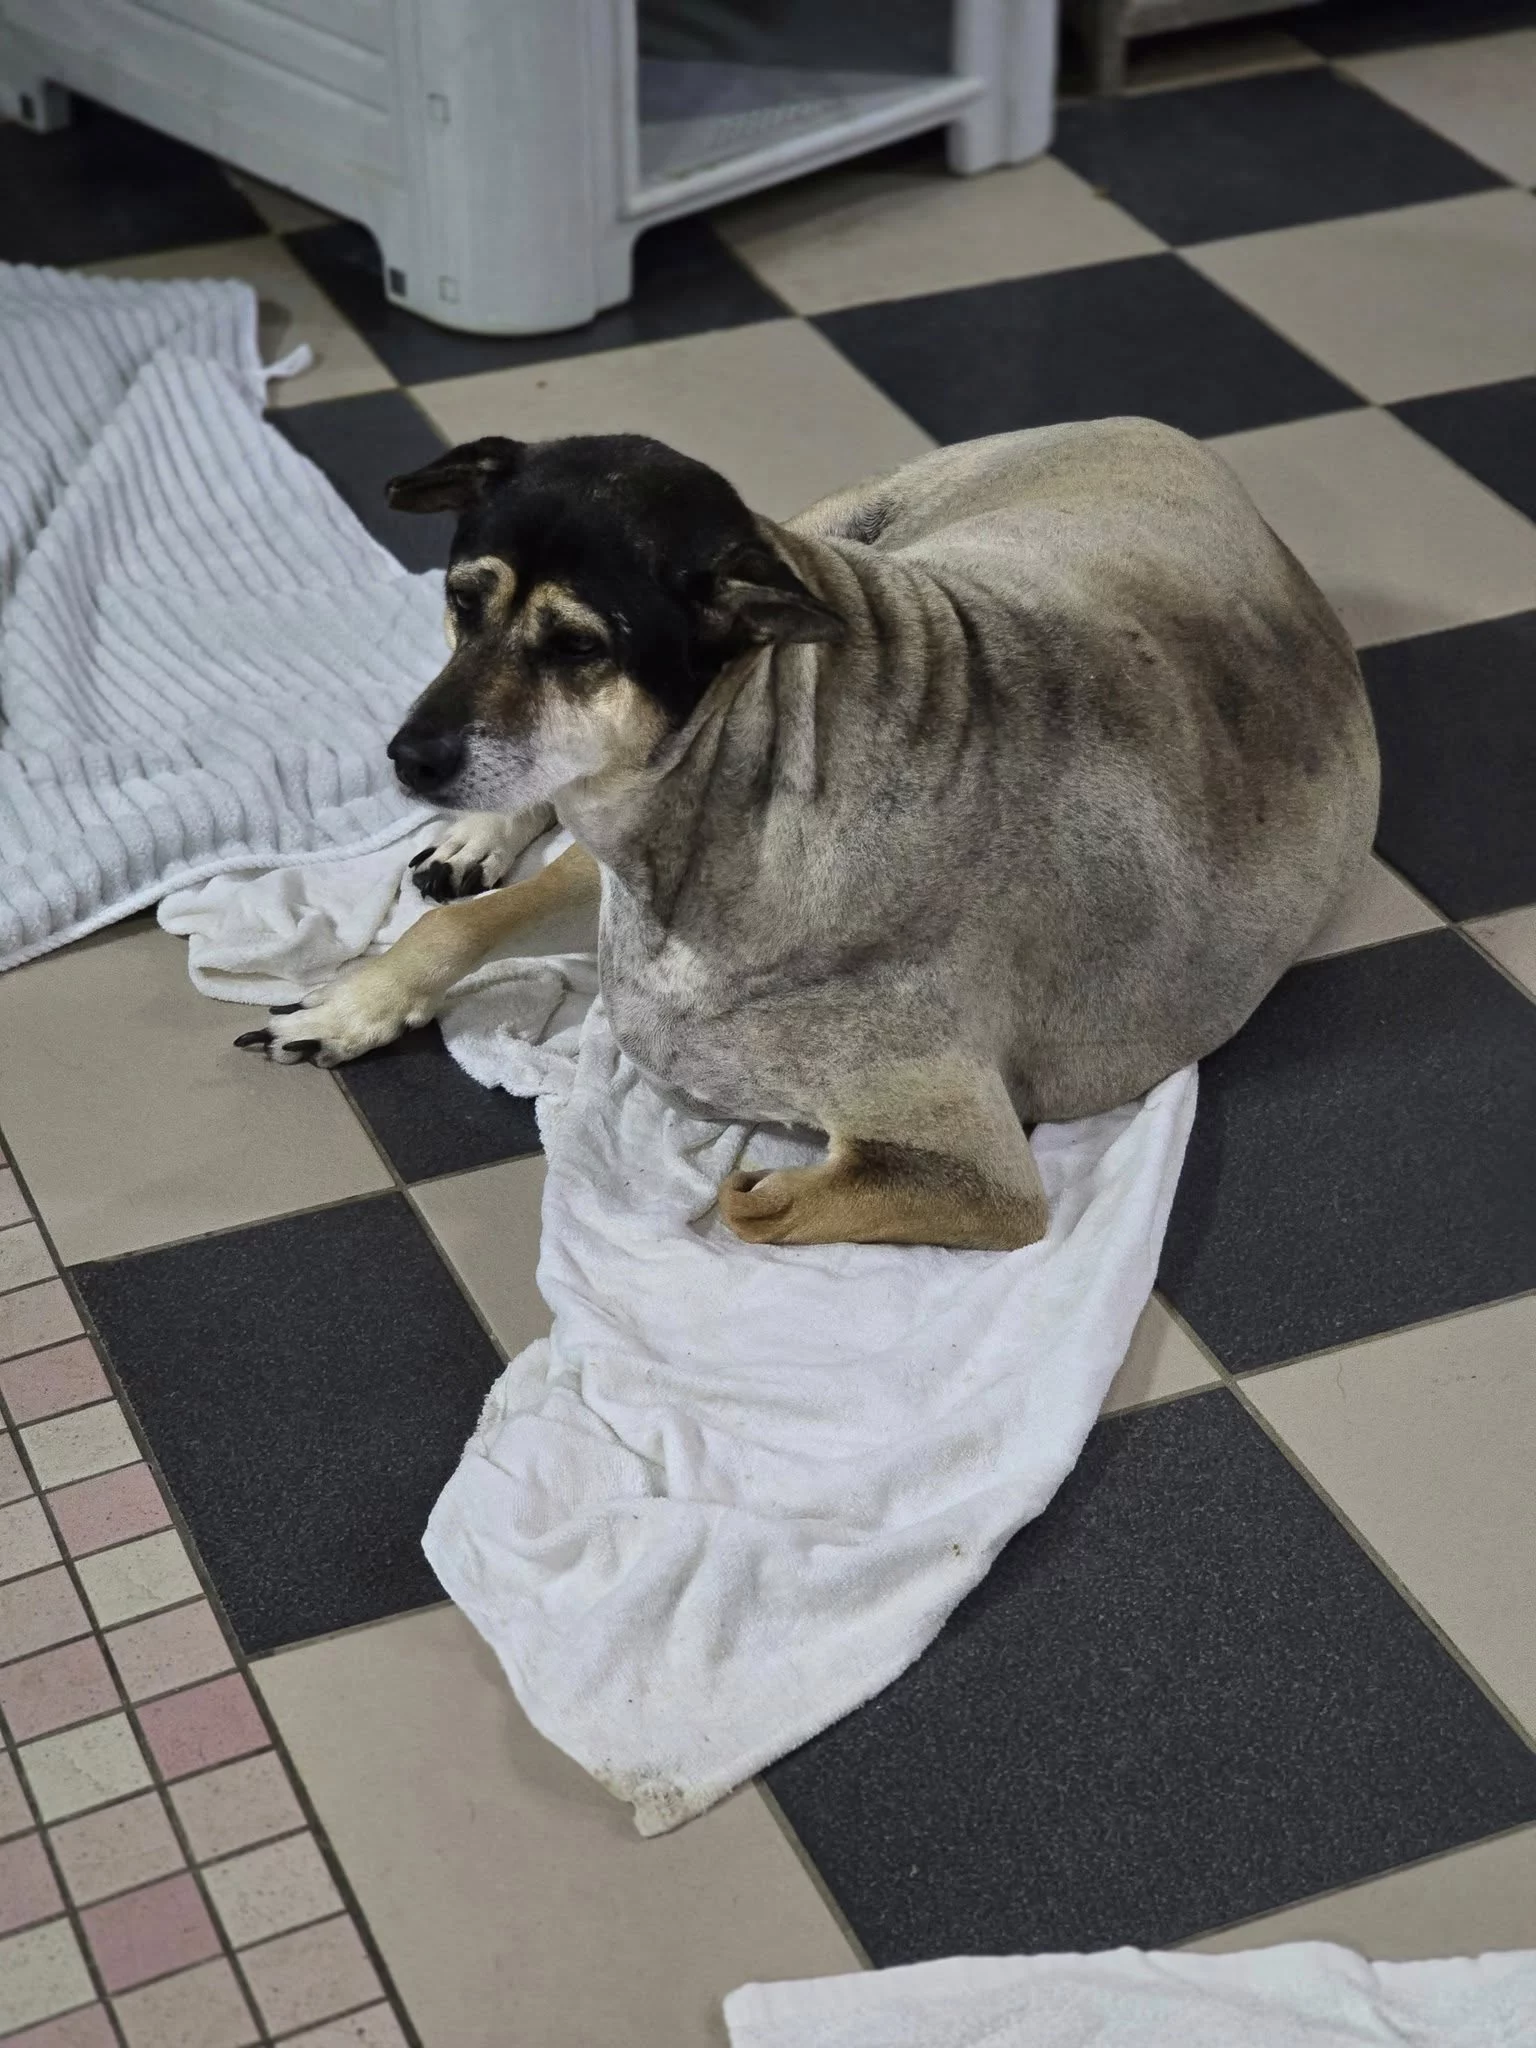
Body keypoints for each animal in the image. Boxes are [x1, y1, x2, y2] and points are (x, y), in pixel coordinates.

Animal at [237, 421, 1379, 1250]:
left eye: (576, 647)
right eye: (460, 600)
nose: (411, 757)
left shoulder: (974, 1171)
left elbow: (750, 1199)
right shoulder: (609, 877)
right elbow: (459, 926)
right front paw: (354, 1004)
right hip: (839, 522)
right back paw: (476, 836)